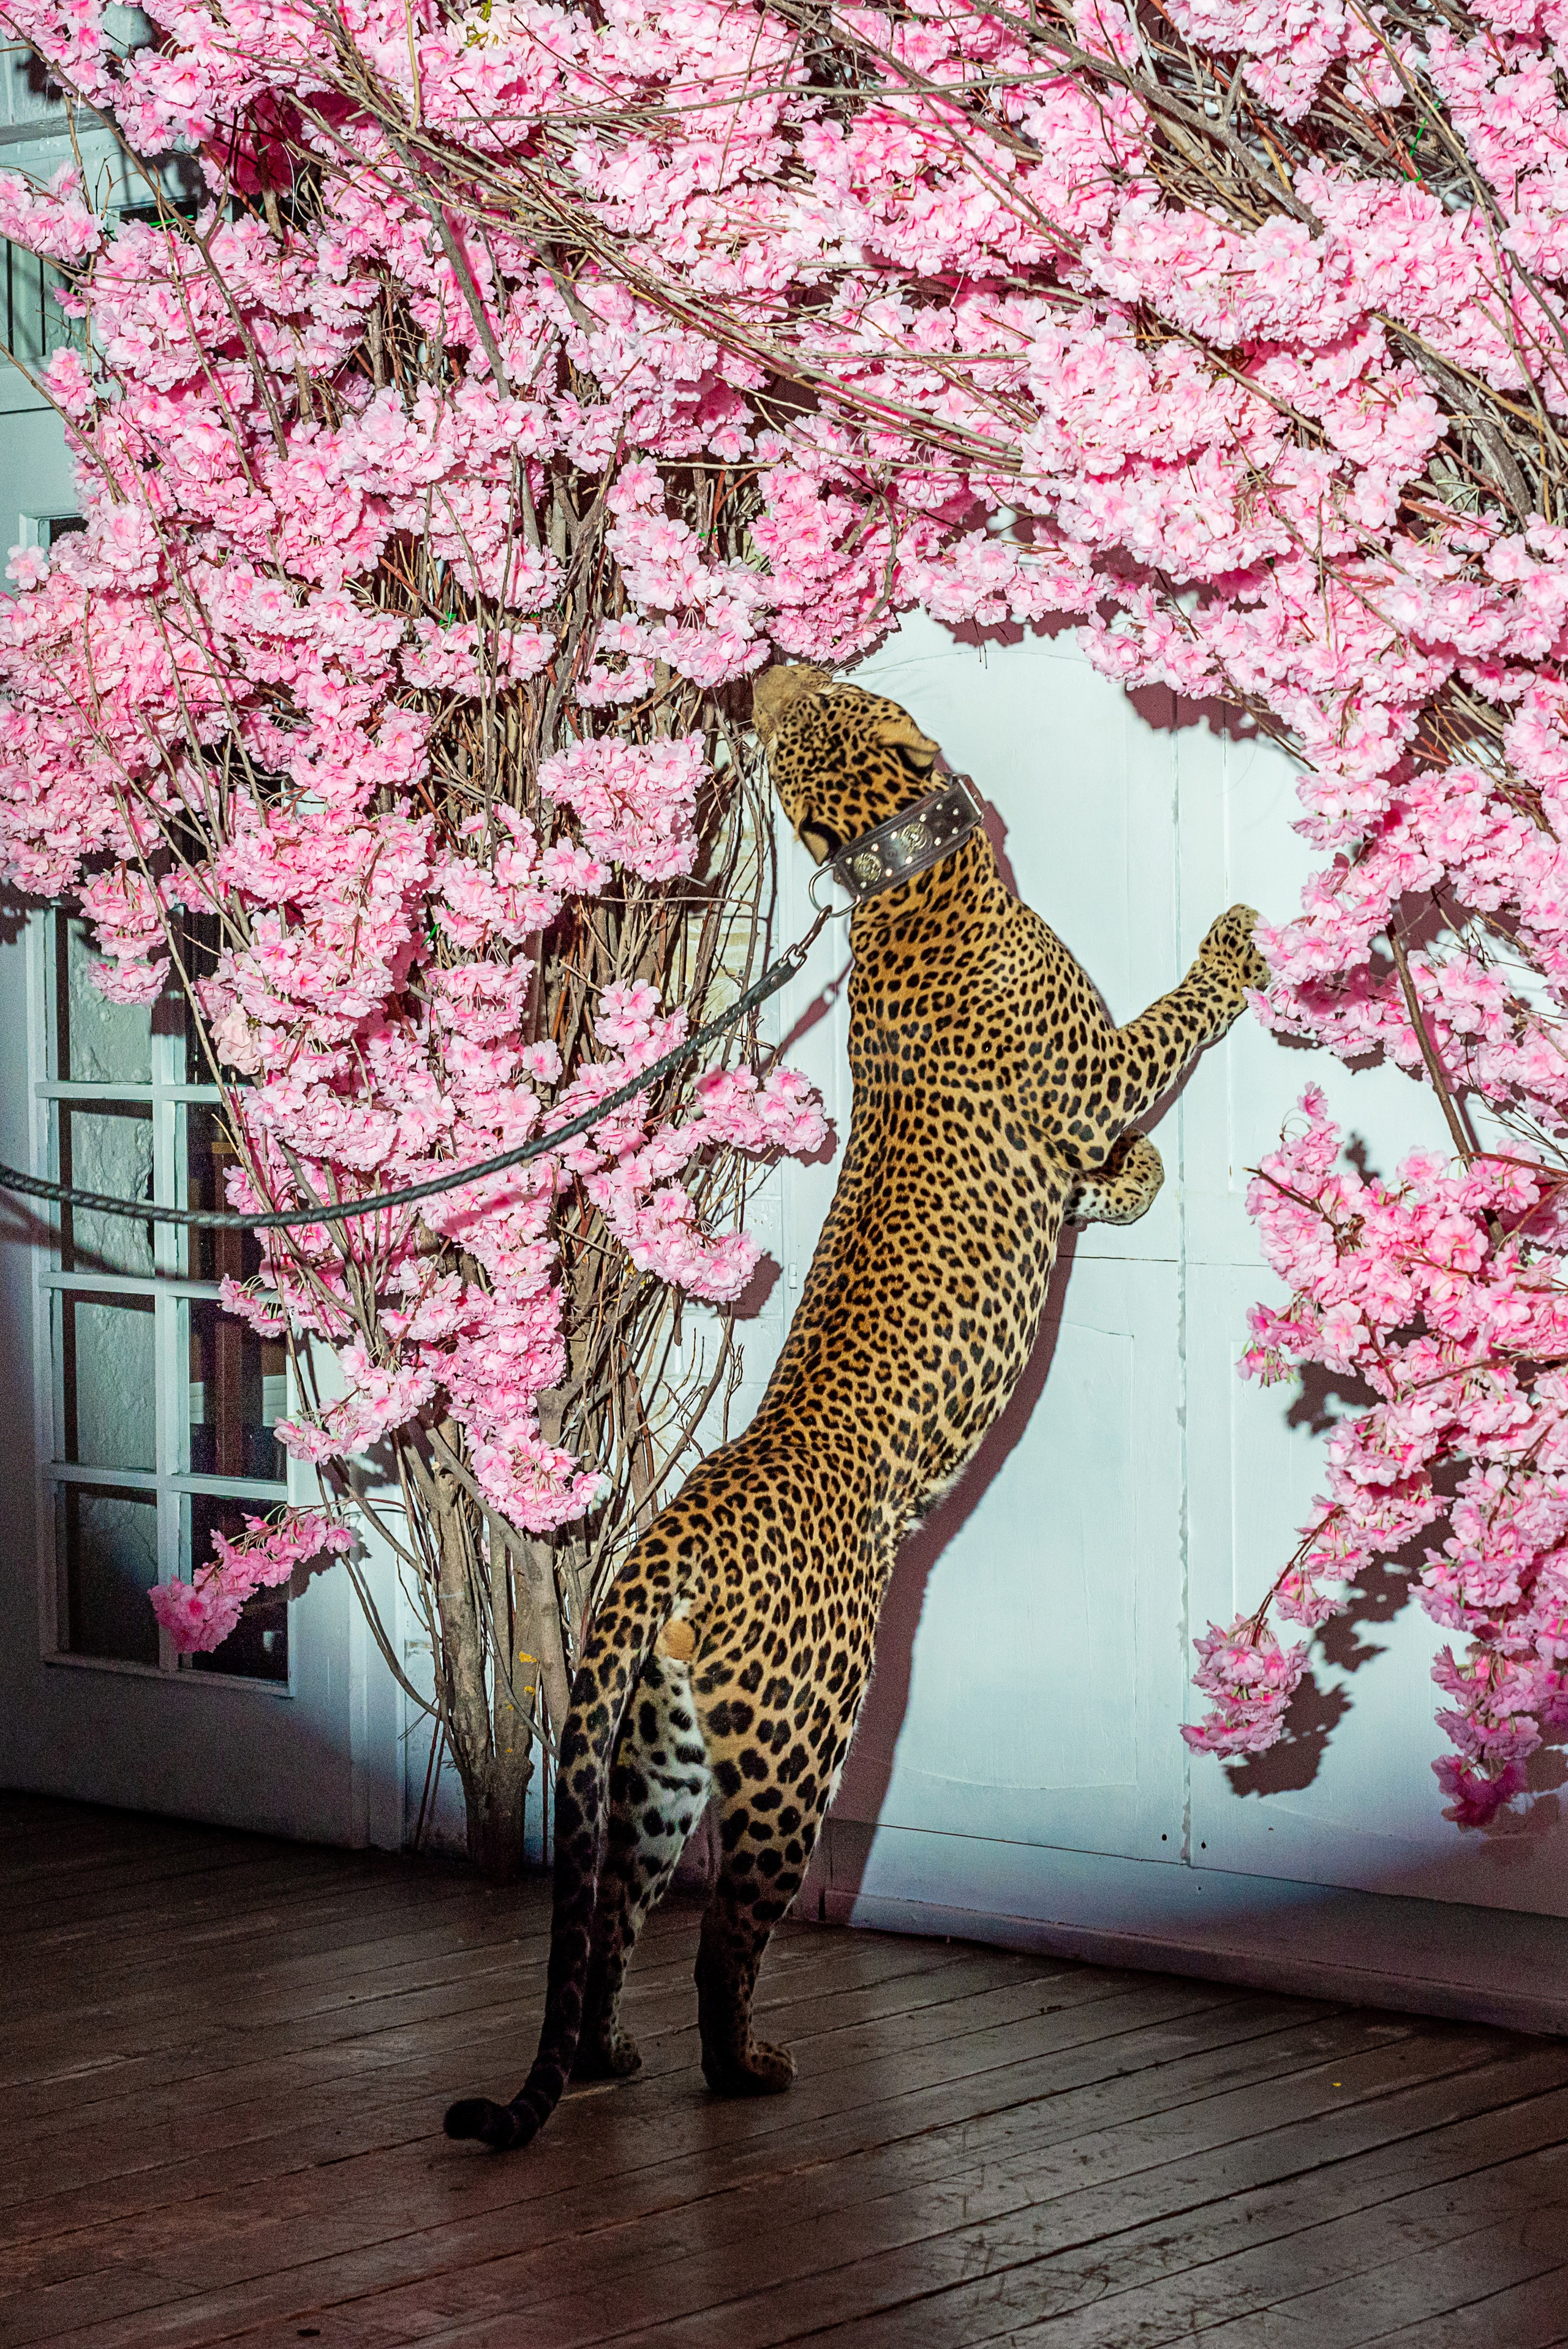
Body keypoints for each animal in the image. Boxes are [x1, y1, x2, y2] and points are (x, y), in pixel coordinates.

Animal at [443, 663, 1269, 2152]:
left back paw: (604, 2056)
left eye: (809, 708)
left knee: (611, 1910)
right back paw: (746, 2069)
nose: (763, 672)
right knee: (725, 1936)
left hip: (657, 1753)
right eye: (851, 689)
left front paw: (1132, 1186)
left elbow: (1098, 1180)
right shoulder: (1091, 1073)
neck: (905, 889)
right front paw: (1227, 954)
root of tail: (666, 1541)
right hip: (799, 1743)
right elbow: (1168, 1028)